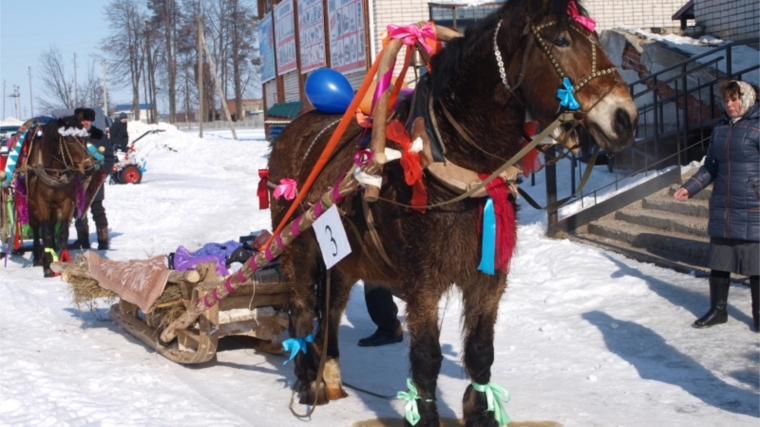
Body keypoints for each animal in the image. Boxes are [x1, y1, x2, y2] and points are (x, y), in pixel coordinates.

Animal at [23, 118, 96, 278]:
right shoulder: (41, 203)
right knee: (36, 228)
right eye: (69, 139)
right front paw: (48, 267)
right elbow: (46, 234)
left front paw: (61, 263)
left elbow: (62, 233)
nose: (89, 168)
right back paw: (38, 257)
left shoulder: (66, 202)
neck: (54, 174)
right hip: (31, 205)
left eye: (85, 138)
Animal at [270, 0, 640, 424]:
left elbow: (480, 352)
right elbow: (427, 357)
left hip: (344, 261)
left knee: (330, 311)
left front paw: (481, 413)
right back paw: (307, 382)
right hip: (296, 247)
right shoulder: (422, 281)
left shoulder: (488, 276)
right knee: (302, 309)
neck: (457, 165)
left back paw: (328, 375)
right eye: (561, 39)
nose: (625, 118)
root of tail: (292, 129)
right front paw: (427, 415)